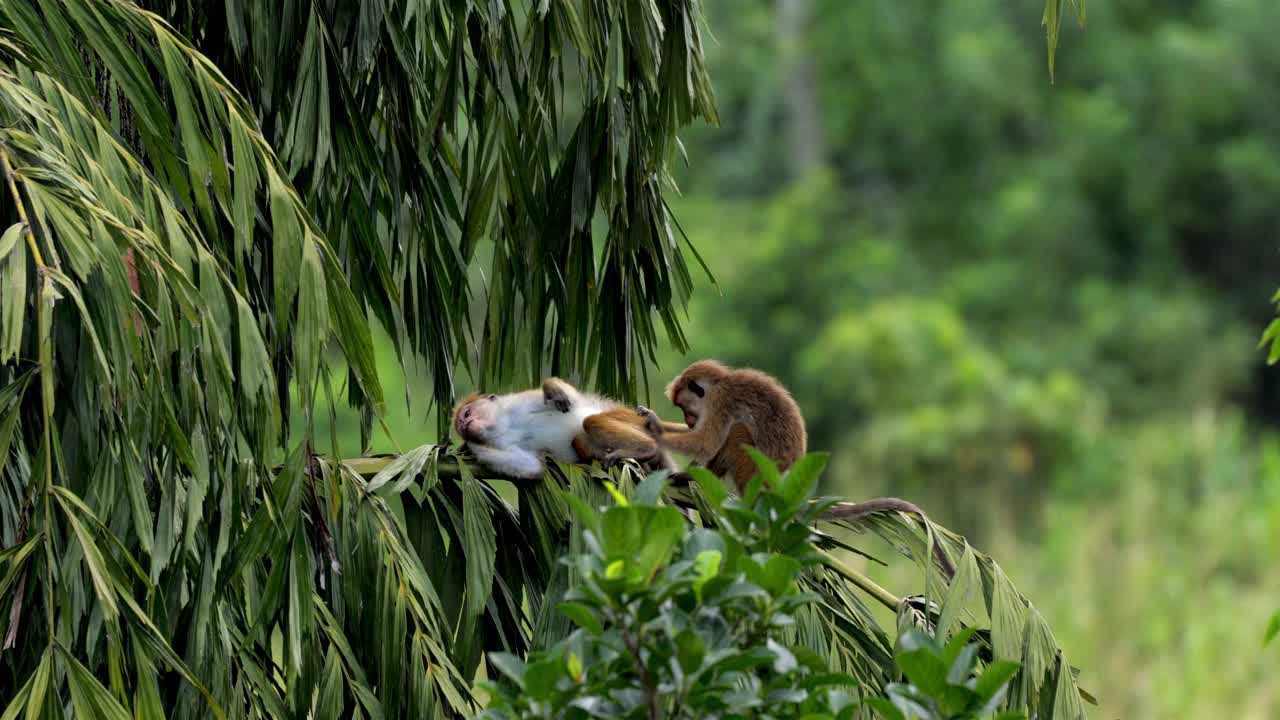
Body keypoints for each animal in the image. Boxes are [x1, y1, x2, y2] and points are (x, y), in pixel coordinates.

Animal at [450, 376, 675, 476]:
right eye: (461, 425)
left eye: (467, 414)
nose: (465, 424)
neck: (506, 424)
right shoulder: (503, 443)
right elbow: (530, 466)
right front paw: (468, 446)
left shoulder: (517, 403)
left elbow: (572, 399)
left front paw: (553, 389)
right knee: (579, 440)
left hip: (631, 419)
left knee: (590, 421)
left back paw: (646, 449)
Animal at [634, 358, 803, 491]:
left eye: (684, 409)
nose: (689, 421)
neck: (719, 384)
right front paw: (654, 420)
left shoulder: (719, 400)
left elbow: (707, 442)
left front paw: (655, 435)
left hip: (757, 477)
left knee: (736, 431)